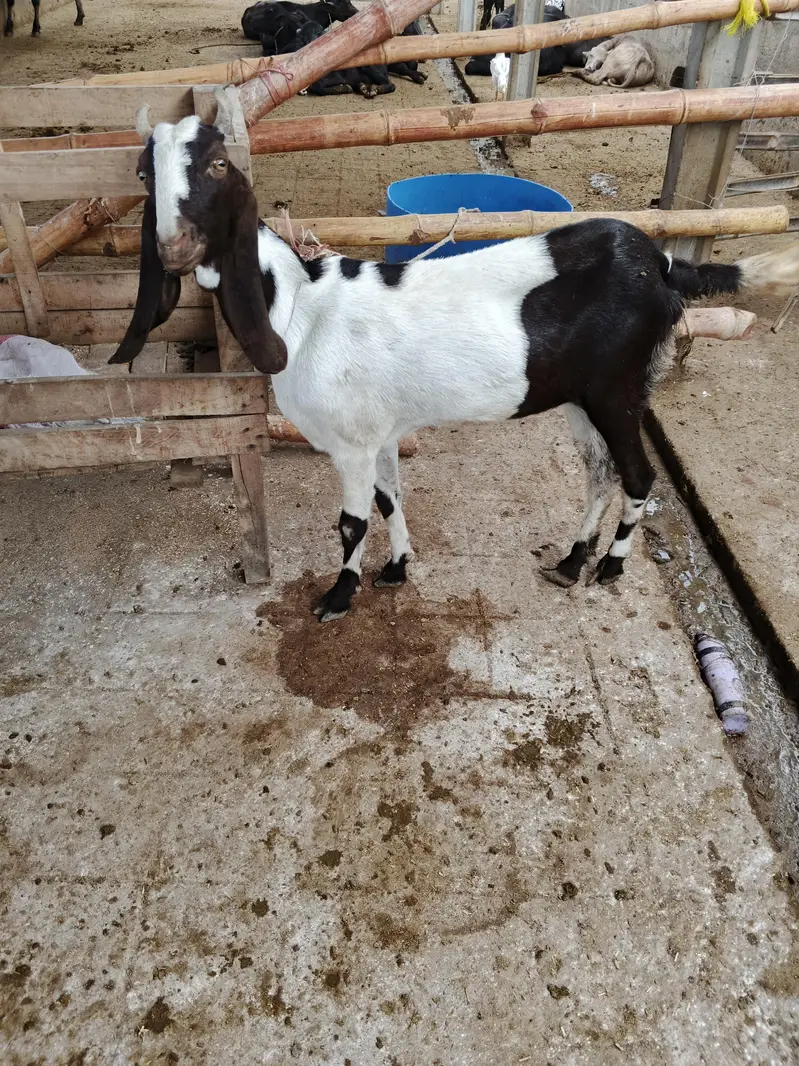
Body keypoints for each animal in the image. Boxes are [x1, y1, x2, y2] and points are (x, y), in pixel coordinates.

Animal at [112, 106, 799, 622]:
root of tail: (661, 264)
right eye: (145, 171)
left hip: (619, 390)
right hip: (581, 398)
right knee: (599, 473)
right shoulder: (381, 433)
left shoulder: (351, 442)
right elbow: (390, 499)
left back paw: (608, 566)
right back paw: (571, 561)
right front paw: (397, 569)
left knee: (636, 475)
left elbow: (351, 522)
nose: (174, 248)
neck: (301, 310)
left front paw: (338, 596)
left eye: (217, 164)